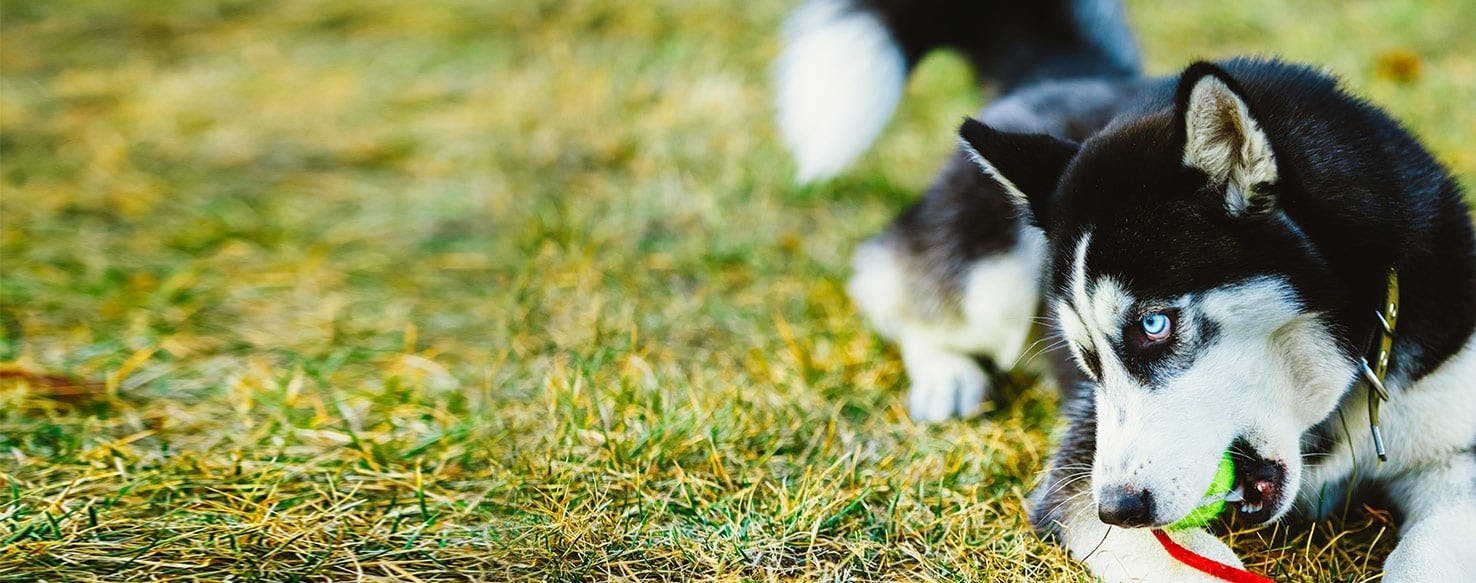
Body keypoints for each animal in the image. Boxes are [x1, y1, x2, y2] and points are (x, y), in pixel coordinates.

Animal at [779, 1, 1470, 578]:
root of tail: (1077, 73)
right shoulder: (1077, 474)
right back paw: (946, 374)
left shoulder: (1454, 446)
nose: (1116, 507)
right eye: (1086, 357)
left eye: (1152, 325)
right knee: (895, 284)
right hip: (988, 277)